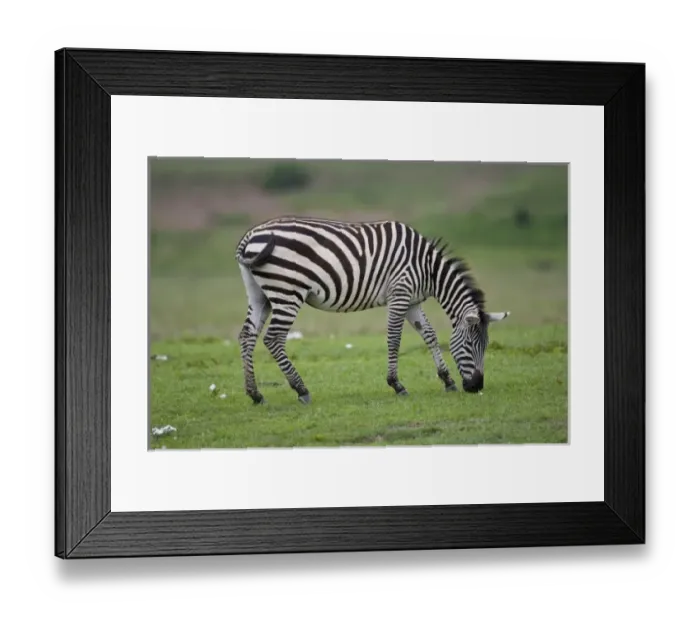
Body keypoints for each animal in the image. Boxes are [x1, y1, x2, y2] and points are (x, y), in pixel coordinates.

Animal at [235, 215, 510, 405]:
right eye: (469, 345)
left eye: (486, 346)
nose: (476, 387)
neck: (428, 268)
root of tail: (251, 235)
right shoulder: (400, 294)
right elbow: (394, 339)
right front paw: (396, 384)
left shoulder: (412, 301)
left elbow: (429, 335)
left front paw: (447, 380)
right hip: (288, 291)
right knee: (273, 338)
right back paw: (301, 390)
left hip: (260, 294)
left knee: (247, 336)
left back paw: (255, 394)